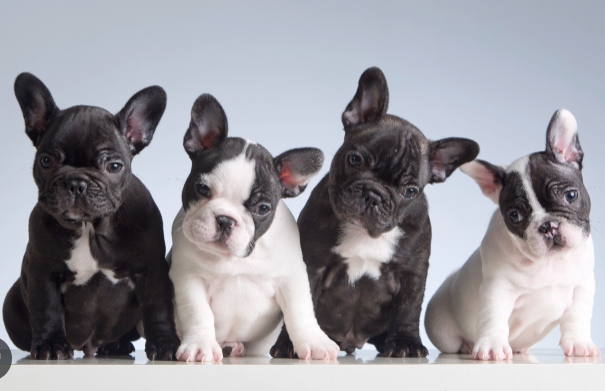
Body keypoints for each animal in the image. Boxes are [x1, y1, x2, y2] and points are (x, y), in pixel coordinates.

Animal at [1, 72, 179, 362]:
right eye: (46, 161)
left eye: (114, 166)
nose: (76, 182)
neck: (89, 228)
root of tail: (87, 346)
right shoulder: (41, 271)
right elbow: (47, 308)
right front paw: (51, 345)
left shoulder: (151, 270)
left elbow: (158, 308)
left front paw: (165, 344)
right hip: (11, 302)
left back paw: (115, 346)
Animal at [169, 93, 340, 362]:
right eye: (203, 189)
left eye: (262, 208)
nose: (226, 220)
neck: (235, 260)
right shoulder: (188, 279)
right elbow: (198, 313)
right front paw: (200, 345)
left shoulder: (292, 278)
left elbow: (300, 311)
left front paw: (314, 342)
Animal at [268, 67, 476, 358]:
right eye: (354, 159)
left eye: (410, 191)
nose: (373, 195)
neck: (365, 232)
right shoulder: (311, 265)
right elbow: (299, 308)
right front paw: (290, 344)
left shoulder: (412, 273)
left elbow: (409, 309)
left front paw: (406, 343)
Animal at [424, 109, 600, 362]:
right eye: (515, 215)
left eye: (571, 195)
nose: (548, 226)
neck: (549, 262)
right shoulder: (497, 288)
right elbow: (493, 316)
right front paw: (492, 346)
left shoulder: (582, 287)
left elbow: (577, 317)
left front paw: (579, 344)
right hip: (442, 330)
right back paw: (467, 346)